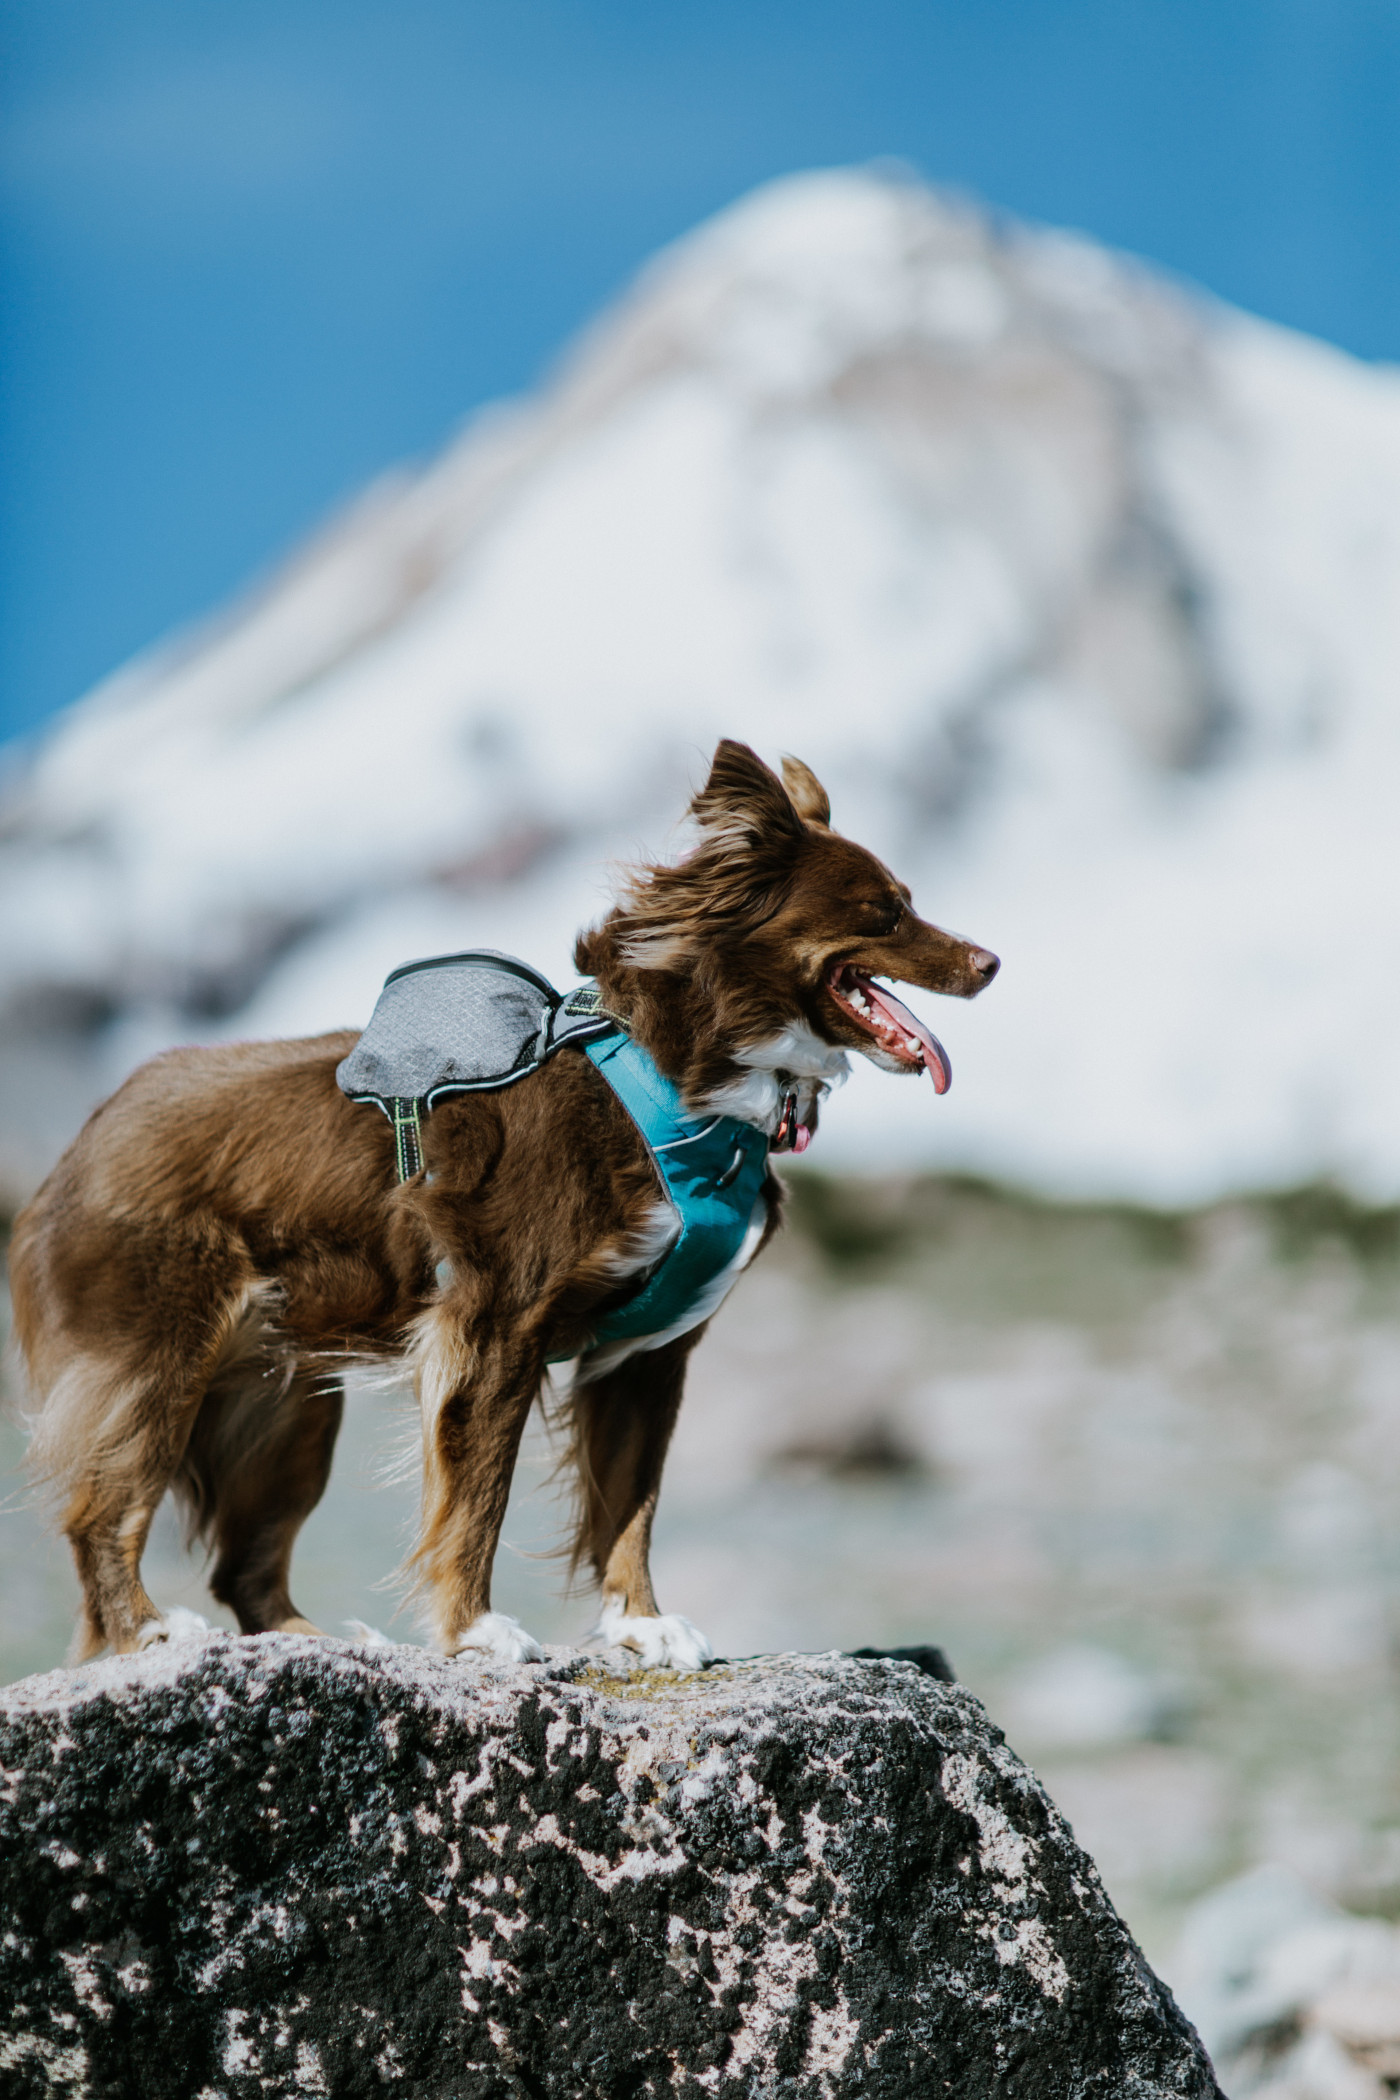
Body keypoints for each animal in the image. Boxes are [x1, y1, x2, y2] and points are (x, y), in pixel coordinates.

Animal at [8, 739, 994, 1671]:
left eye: (907, 900)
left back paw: (312, 1641)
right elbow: (479, 1496)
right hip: (158, 1355)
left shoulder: (650, 1357)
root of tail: (87, 1136)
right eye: (885, 911)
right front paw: (476, 1633)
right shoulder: (495, 1330)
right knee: (102, 1510)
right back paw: (145, 1631)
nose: (991, 962)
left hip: (285, 1405)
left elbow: (631, 1504)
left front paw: (640, 1626)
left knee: (245, 1563)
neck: (691, 1078)